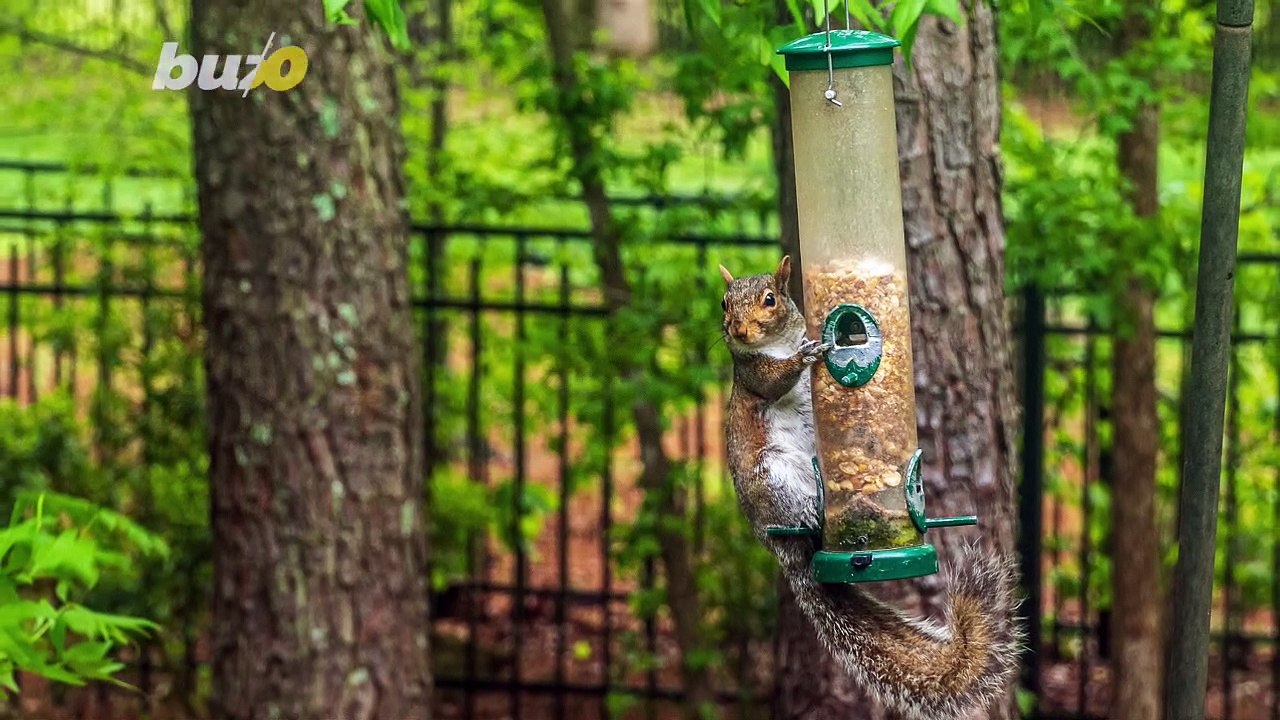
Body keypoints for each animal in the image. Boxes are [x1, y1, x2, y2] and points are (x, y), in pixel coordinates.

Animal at [719, 255, 1021, 720]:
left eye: (769, 299)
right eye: (723, 303)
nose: (737, 330)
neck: (774, 344)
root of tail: (779, 546)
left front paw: (807, 348)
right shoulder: (752, 374)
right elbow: (773, 381)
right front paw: (807, 355)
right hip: (772, 478)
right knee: (796, 515)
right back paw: (812, 514)